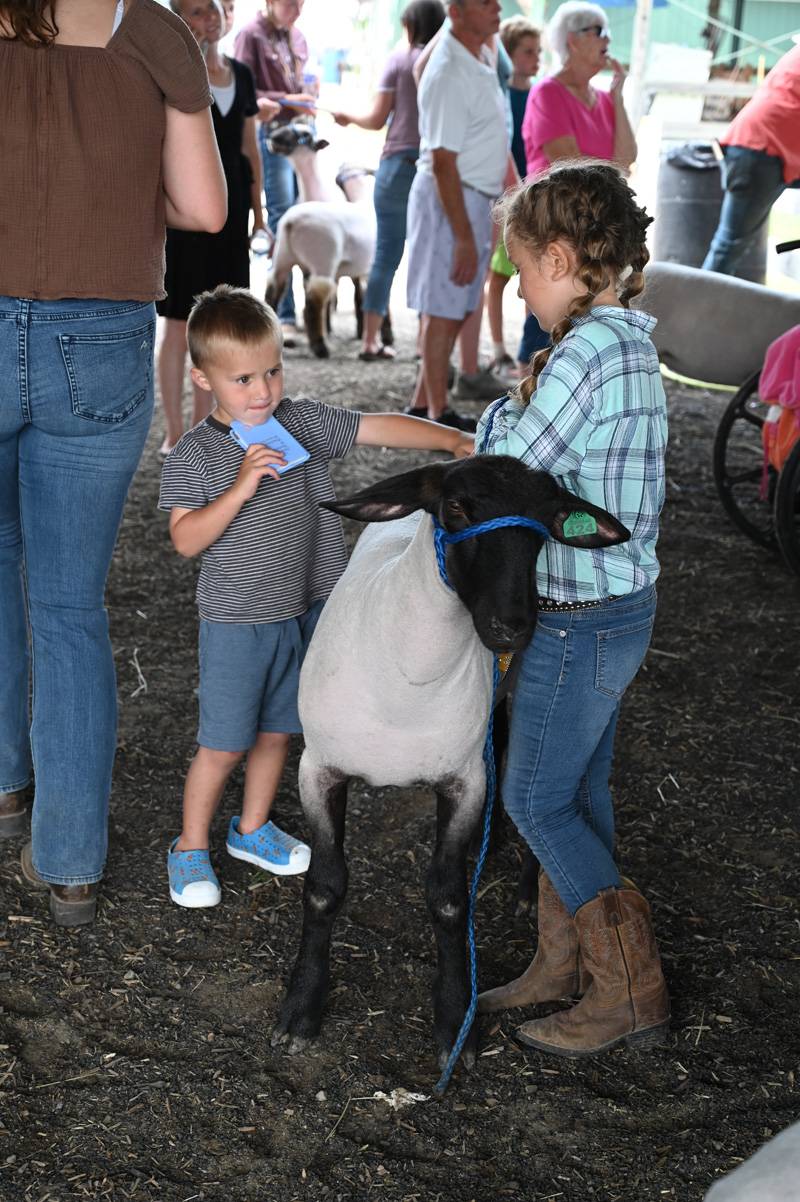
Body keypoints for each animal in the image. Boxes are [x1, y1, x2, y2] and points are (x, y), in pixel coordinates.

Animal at [261, 122, 389, 355]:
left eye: (304, 135)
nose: (271, 138)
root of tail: (291, 222)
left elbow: (363, 297)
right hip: (323, 261)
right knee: (314, 302)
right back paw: (320, 345)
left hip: (283, 257)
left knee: (275, 288)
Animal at [271, 456, 624, 1072]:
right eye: (455, 507)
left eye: (547, 520)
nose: (512, 625)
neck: (407, 679)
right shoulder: (318, 770)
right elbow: (324, 885)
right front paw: (301, 1009)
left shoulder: (463, 782)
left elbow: (449, 900)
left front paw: (456, 1023)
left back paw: (529, 888)